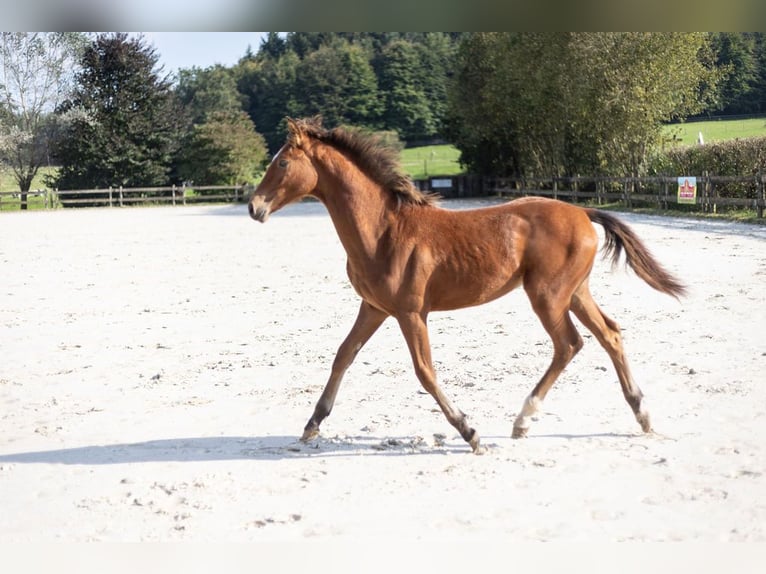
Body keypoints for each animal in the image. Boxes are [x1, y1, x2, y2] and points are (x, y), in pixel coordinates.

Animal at [249, 117, 688, 456]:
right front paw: (312, 424)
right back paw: (641, 415)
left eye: (282, 162)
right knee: (609, 334)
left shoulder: (411, 313)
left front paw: (470, 432)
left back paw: (524, 419)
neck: (383, 231)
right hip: (575, 292)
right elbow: (343, 355)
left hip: (548, 296)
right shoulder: (374, 308)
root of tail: (582, 209)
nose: (255, 207)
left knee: (569, 343)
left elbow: (425, 372)